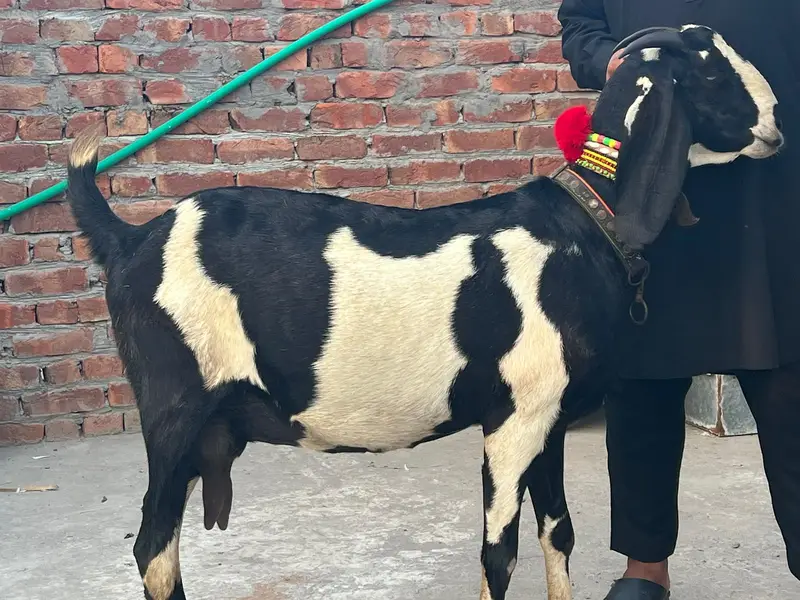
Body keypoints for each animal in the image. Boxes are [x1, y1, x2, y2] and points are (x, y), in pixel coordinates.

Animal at [66, 24, 781, 600]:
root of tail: (129, 240)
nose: (776, 122)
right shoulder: (513, 420)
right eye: (710, 71)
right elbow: (499, 555)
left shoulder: (549, 419)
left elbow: (560, 533)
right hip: (175, 407)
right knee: (153, 548)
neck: (583, 224)